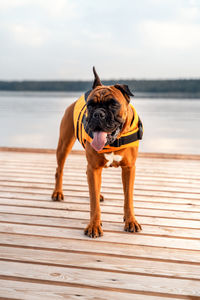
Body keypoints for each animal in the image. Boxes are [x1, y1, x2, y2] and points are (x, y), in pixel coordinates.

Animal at [51, 67, 142, 238]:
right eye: (91, 105)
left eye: (113, 104)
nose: (98, 113)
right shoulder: (93, 167)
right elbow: (93, 203)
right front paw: (94, 225)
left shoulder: (129, 168)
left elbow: (128, 198)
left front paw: (131, 221)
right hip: (64, 145)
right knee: (59, 169)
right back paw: (57, 193)